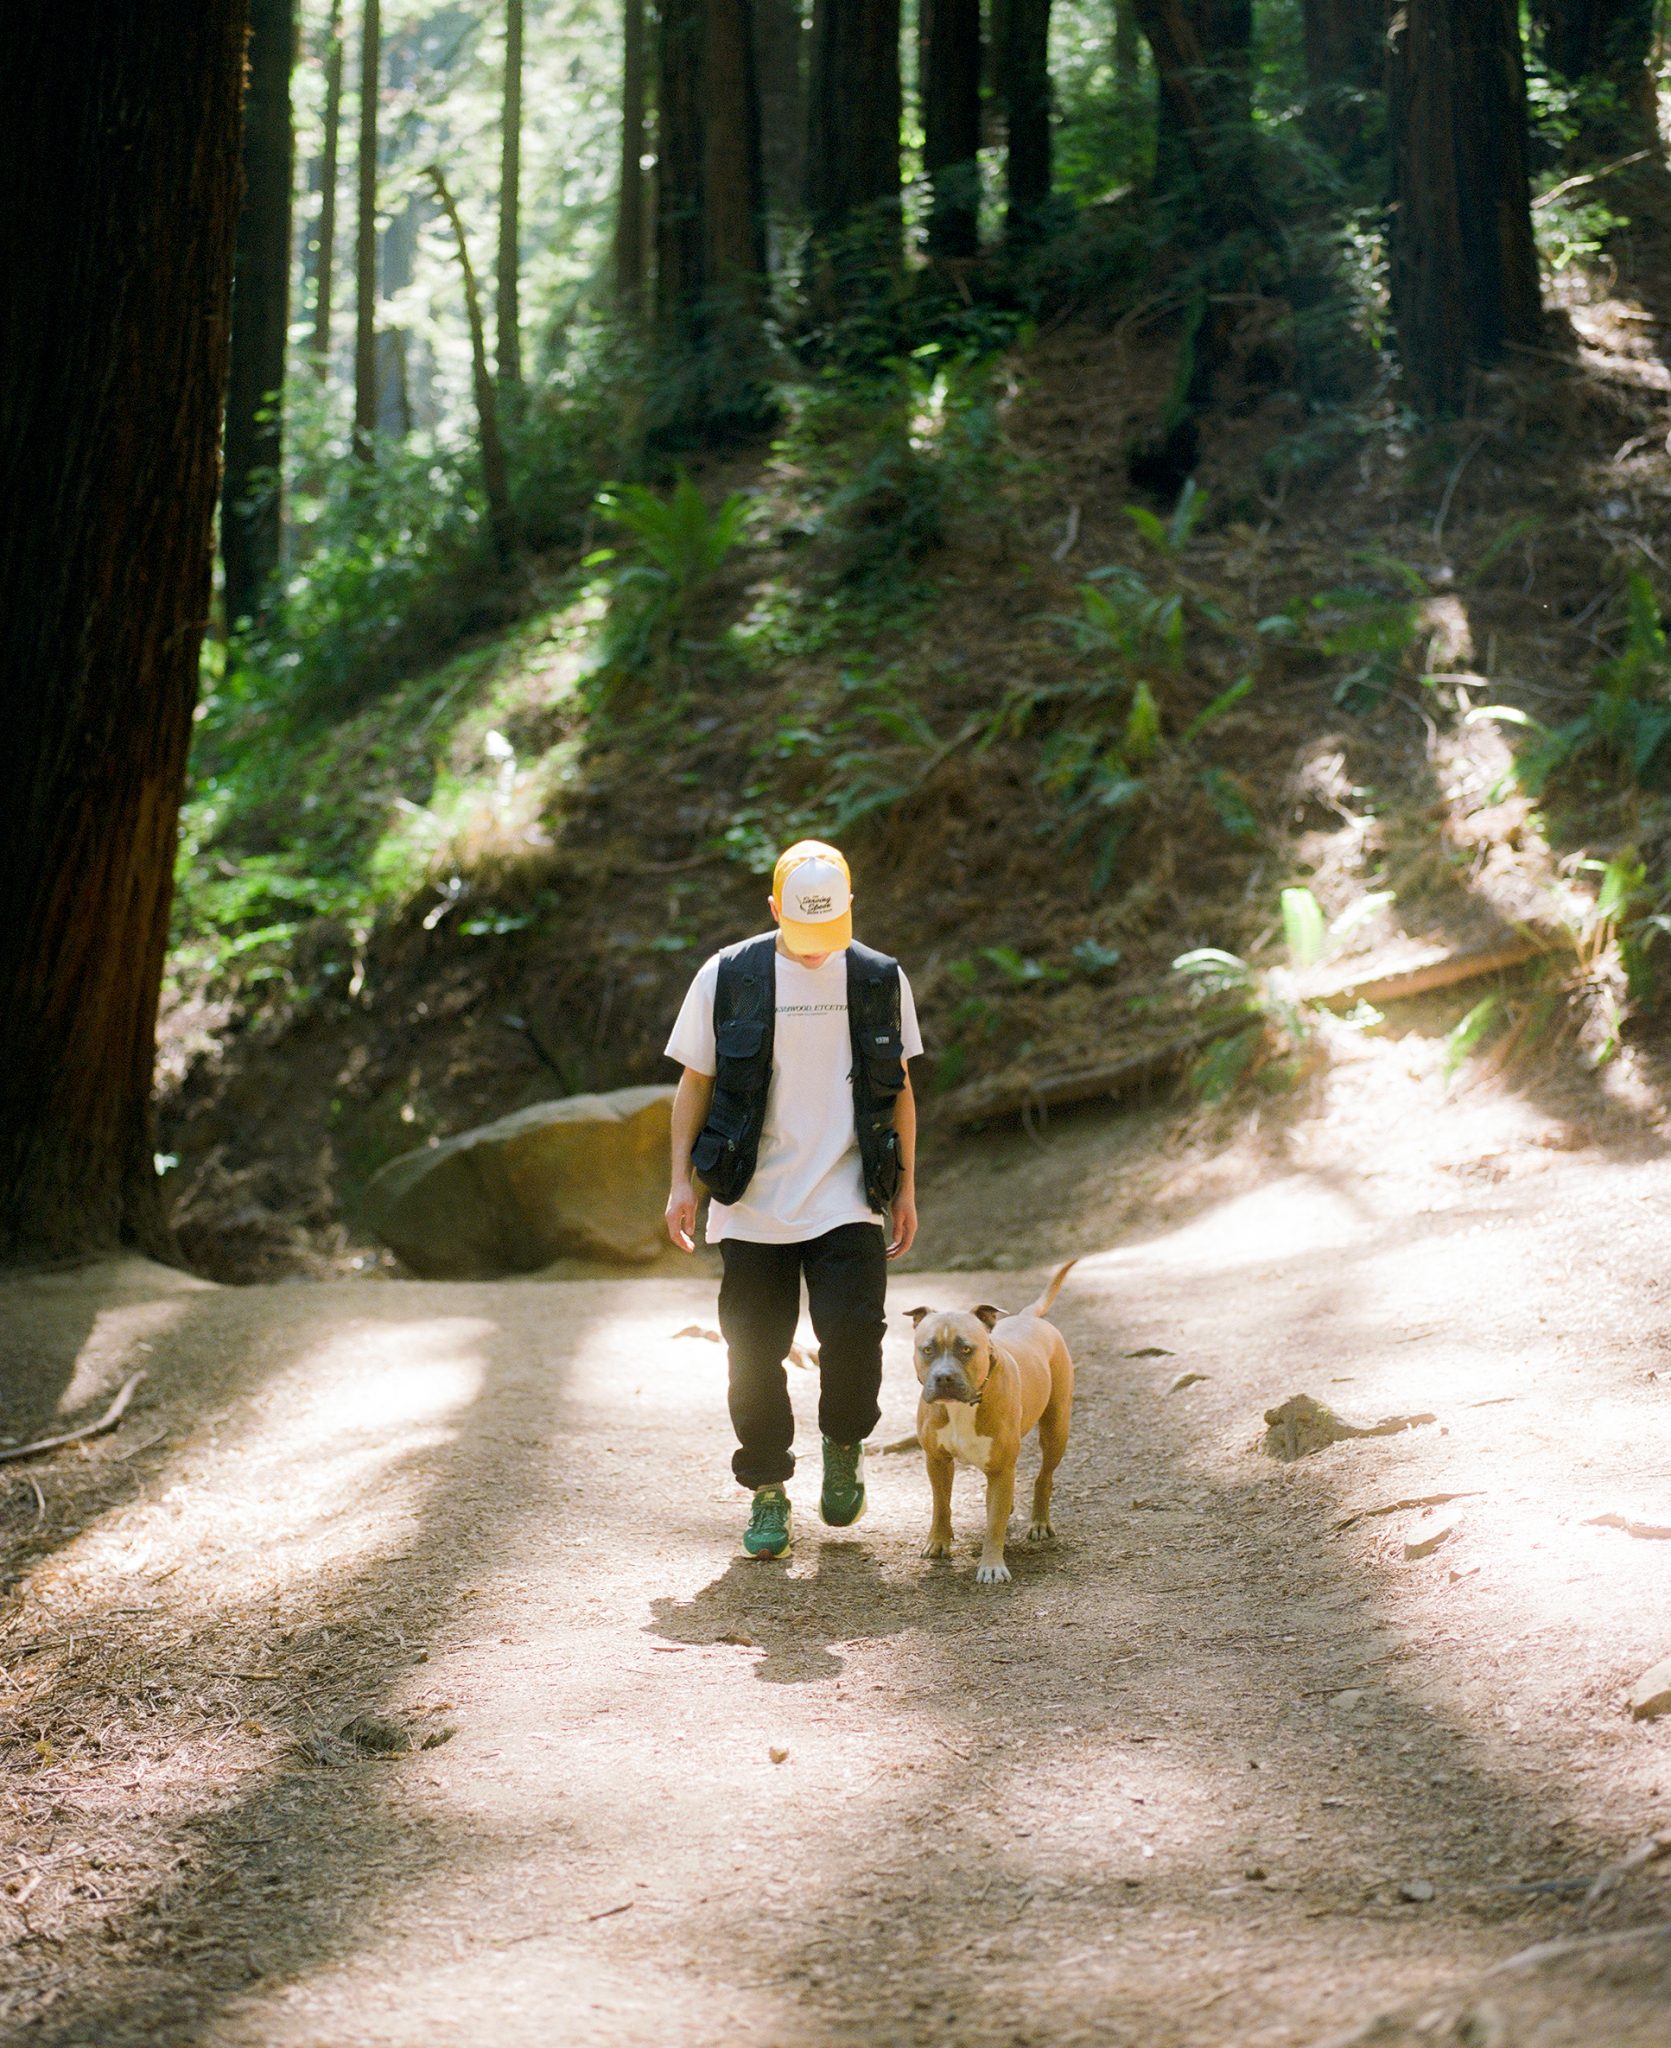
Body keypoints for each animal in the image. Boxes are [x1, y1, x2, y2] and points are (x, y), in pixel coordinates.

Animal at [909, 1261, 1073, 1581]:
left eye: (965, 1349)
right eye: (927, 1349)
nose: (943, 1377)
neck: (964, 1406)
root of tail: (1028, 1317)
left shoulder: (1000, 1469)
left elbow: (994, 1523)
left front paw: (992, 1566)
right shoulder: (936, 1460)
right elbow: (941, 1504)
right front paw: (938, 1541)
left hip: (1056, 1430)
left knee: (1043, 1477)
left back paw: (1039, 1522)